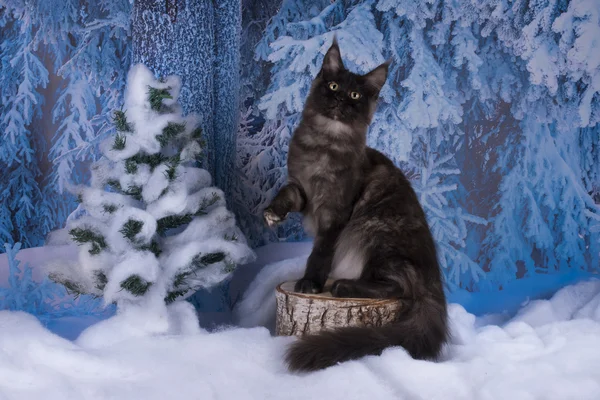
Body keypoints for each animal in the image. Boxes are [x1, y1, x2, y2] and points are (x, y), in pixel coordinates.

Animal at [264, 37, 448, 372]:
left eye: (355, 95)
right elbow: (285, 194)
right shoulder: (301, 189)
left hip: (376, 231)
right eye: (334, 85)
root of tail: (434, 280)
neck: (323, 144)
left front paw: (310, 282)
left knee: (399, 288)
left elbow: (321, 252)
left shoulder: (336, 212)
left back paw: (343, 287)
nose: (341, 100)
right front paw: (273, 213)